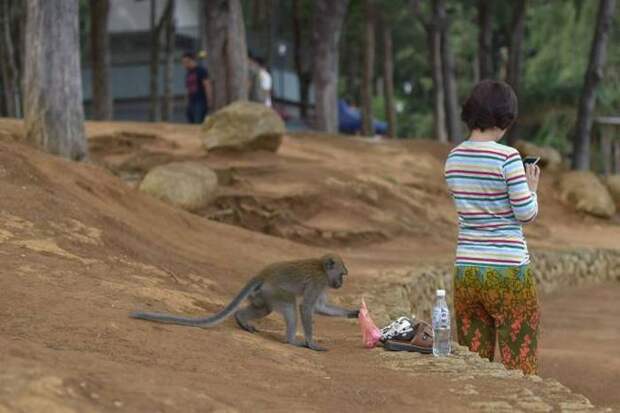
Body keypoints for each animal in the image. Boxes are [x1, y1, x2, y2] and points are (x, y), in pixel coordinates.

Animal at [131, 253, 358, 350]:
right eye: (343, 274)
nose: (340, 284)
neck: (322, 268)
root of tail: (263, 273)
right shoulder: (319, 281)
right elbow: (306, 307)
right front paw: (311, 343)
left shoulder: (324, 283)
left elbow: (319, 307)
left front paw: (354, 313)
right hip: (274, 291)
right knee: (291, 305)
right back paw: (291, 340)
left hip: (263, 293)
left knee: (264, 308)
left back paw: (241, 319)